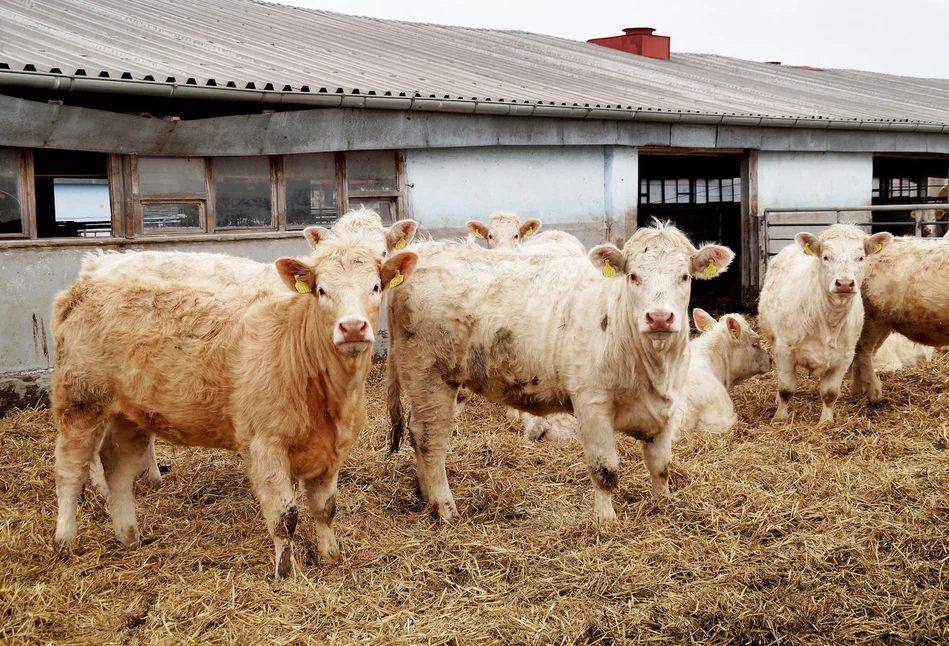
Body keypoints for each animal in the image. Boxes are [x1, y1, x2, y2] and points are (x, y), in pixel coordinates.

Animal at [51, 234, 414, 584]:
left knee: (118, 470)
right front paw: (286, 573)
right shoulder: (265, 446)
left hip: (130, 414)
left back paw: (129, 536)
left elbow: (326, 509)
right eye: (322, 290)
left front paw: (330, 556)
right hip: (80, 402)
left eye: (376, 287)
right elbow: (285, 518)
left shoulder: (331, 449)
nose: (352, 327)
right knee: (71, 471)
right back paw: (65, 539)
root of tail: (85, 286)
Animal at [386, 223, 732, 528]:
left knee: (417, 432)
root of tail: (423, 250)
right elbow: (605, 469)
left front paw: (664, 506)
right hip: (428, 373)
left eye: (684, 276)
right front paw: (606, 521)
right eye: (634, 276)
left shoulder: (666, 407)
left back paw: (425, 495)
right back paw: (445, 508)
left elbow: (661, 465)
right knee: (431, 439)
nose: (659, 317)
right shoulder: (591, 403)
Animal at [756, 225, 888, 428]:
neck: (829, 321)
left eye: (861, 257)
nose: (844, 283)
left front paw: (826, 422)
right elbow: (786, 387)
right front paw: (780, 418)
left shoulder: (844, 357)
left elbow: (830, 393)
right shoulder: (784, 350)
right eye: (826, 256)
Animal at [848, 235, 948, 402]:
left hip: (883, 321)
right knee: (863, 350)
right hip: (871, 315)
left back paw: (858, 392)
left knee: (865, 351)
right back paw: (875, 396)